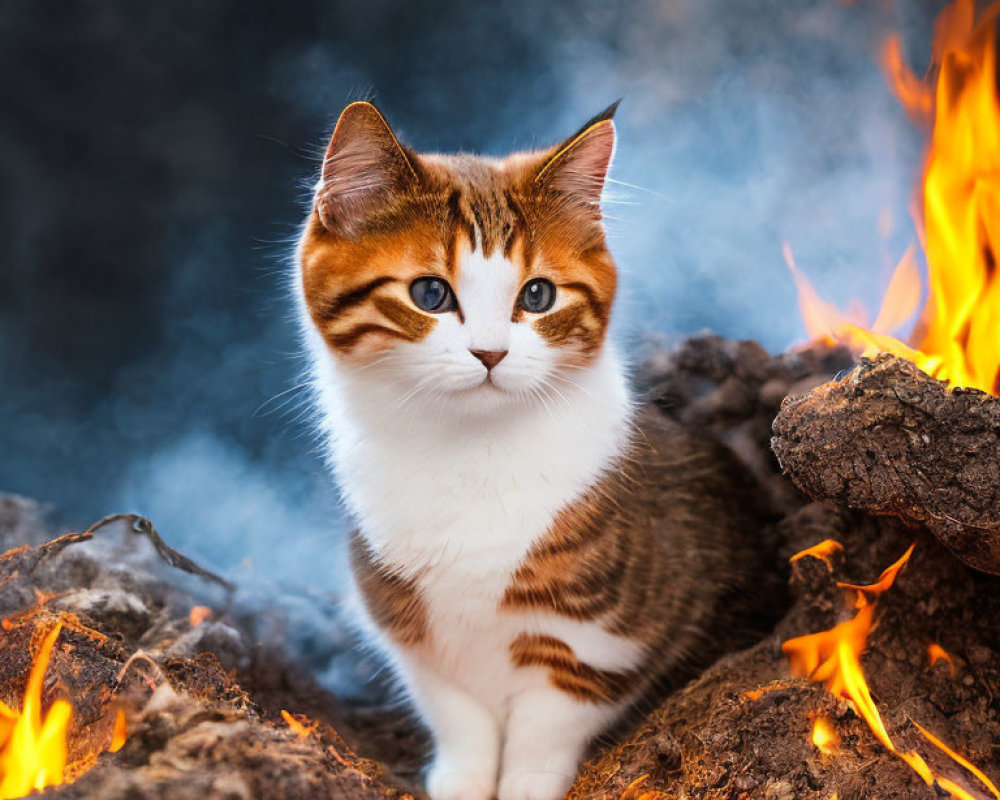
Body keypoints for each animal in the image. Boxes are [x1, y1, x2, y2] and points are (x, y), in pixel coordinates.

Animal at [292, 103, 768, 800]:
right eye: (430, 294)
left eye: (537, 295)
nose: (490, 353)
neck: (471, 452)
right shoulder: (405, 618)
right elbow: (455, 710)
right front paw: (461, 778)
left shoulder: (597, 638)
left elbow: (547, 725)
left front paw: (524, 783)